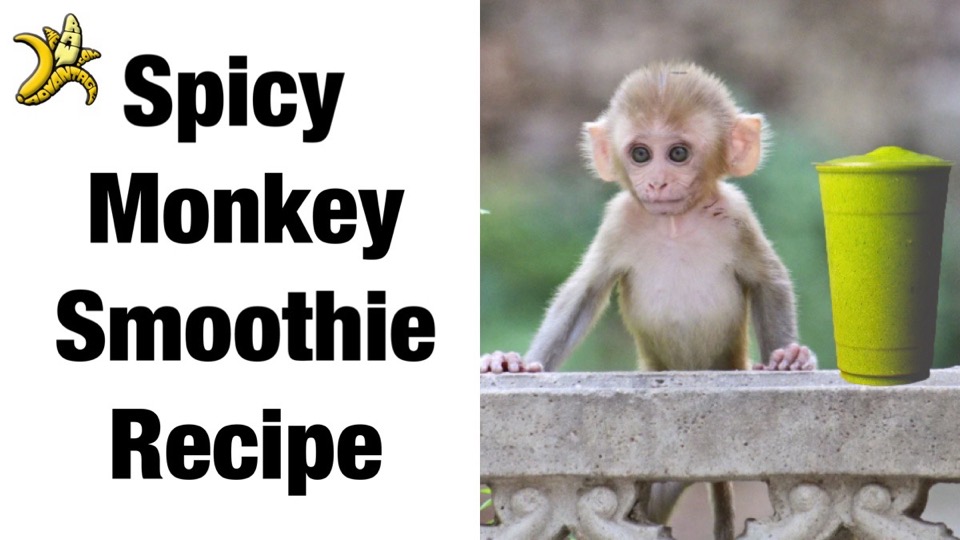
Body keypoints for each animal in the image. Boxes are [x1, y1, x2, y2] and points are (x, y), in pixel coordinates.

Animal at [480, 62, 815, 539]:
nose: (656, 180)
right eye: (640, 154)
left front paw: (787, 360)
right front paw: (513, 364)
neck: (673, 222)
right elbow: (584, 293)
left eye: (677, 153)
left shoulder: (737, 213)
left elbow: (770, 282)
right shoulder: (619, 219)